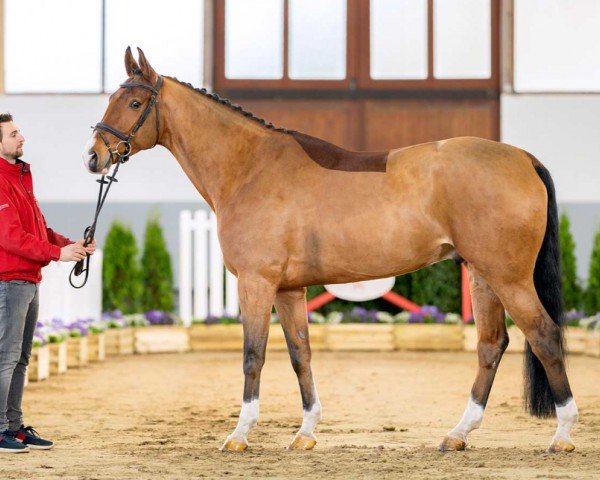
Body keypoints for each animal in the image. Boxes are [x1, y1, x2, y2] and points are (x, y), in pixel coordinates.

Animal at [83, 48, 576, 454]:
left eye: (133, 103)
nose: (94, 157)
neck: (249, 168)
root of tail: (524, 159)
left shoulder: (256, 284)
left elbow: (253, 354)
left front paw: (240, 435)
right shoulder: (288, 290)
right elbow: (300, 354)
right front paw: (305, 434)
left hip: (508, 277)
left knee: (545, 336)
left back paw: (562, 435)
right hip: (481, 274)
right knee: (492, 344)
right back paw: (457, 435)